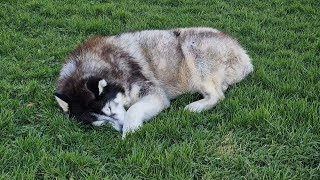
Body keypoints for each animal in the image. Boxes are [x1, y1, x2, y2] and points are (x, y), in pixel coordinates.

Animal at [55, 27, 255, 138]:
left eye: (110, 109)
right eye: (100, 123)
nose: (120, 128)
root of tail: (243, 53)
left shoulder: (154, 93)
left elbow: (133, 110)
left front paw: (130, 131)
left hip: (191, 46)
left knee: (218, 96)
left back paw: (195, 107)